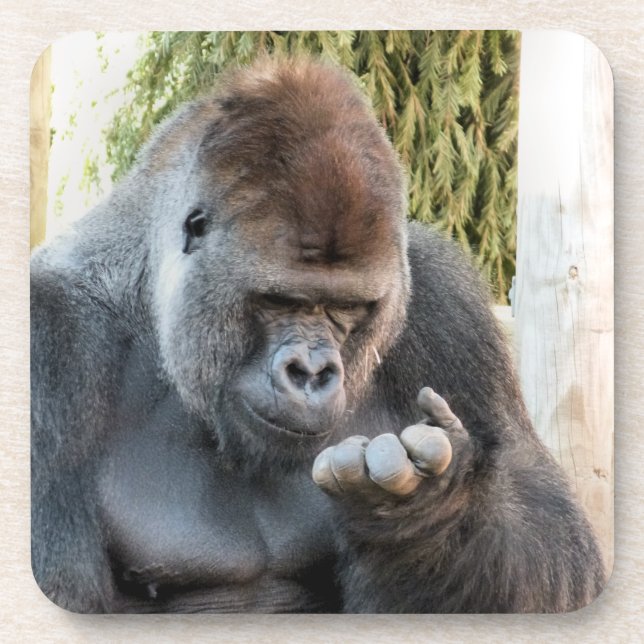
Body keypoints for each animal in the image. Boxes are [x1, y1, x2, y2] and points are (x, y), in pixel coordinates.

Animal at [31, 56, 606, 613]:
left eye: (345, 307)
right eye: (280, 301)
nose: (310, 372)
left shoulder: (447, 304)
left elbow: (557, 548)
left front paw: (427, 510)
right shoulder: (51, 334)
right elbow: (65, 589)